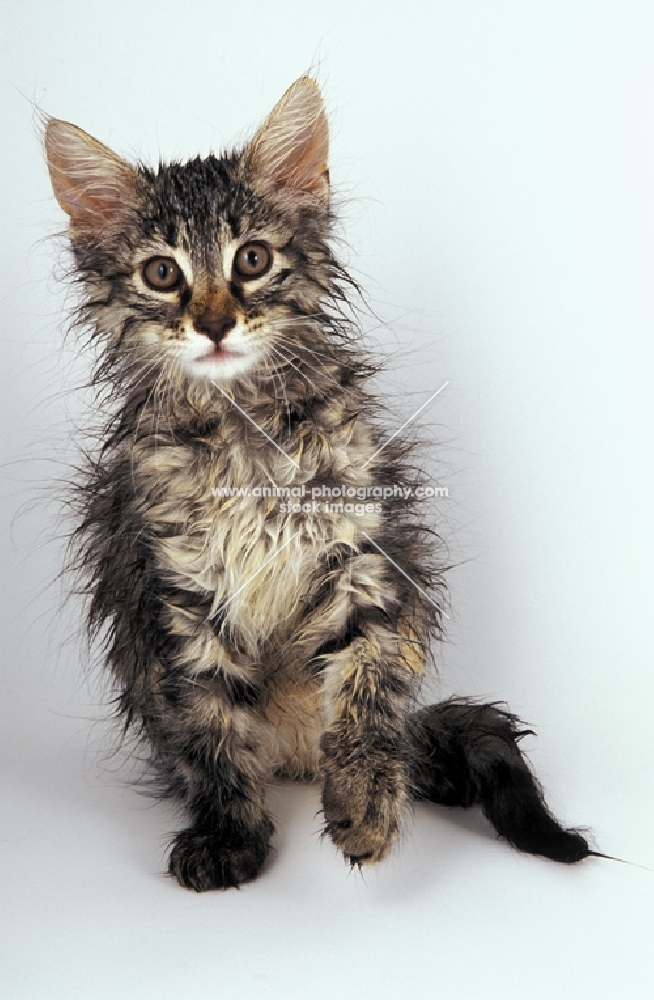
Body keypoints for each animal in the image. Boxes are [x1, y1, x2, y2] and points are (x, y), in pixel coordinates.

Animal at [43, 78, 592, 892]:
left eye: (253, 259)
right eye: (162, 274)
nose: (214, 324)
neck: (241, 434)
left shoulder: (361, 559)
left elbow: (364, 687)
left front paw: (364, 803)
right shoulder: (182, 590)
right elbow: (210, 726)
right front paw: (230, 833)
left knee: (388, 728)